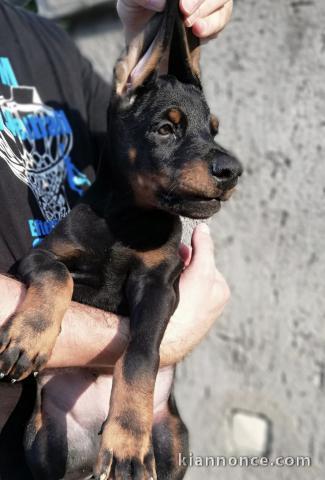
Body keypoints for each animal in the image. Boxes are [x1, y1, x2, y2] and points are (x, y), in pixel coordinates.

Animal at [0, 1, 240, 478]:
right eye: (166, 129)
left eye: (213, 130)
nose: (233, 171)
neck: (127, 221)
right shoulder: (40, 257)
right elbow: (58, 275)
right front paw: (29, 337)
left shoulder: (160, 285)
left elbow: (140, 354)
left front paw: (128, 439)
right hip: (41, 441)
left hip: (175, 440)